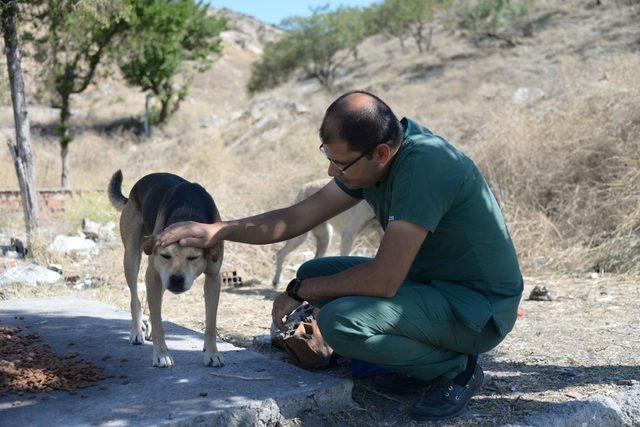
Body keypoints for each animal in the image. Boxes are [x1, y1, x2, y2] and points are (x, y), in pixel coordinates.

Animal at [110, 171, 228, 368]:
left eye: (193, 257)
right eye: (165, 255)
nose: (176, 280)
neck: (187, 213)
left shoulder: (213, 277)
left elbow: (211, 323)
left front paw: (212, 354)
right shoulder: (153, 274)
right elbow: (159, 325)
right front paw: (161, 355)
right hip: (132, 257)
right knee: (135, 298)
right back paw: (137, 332)